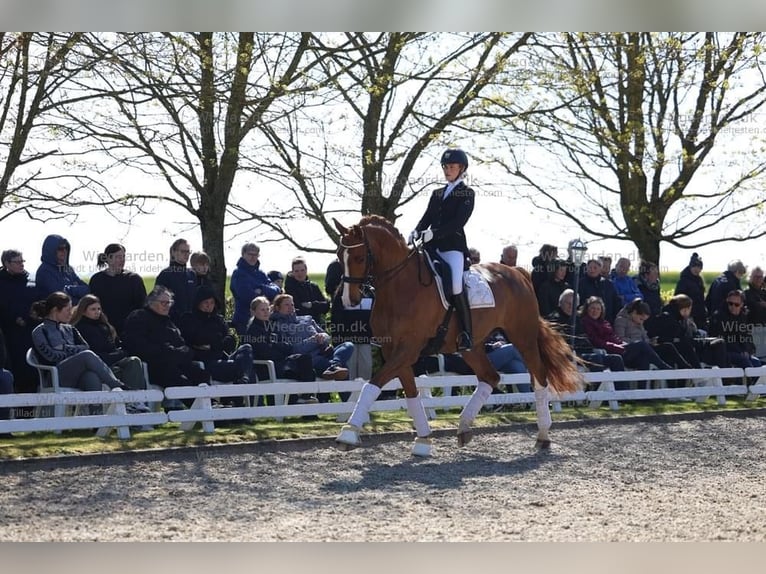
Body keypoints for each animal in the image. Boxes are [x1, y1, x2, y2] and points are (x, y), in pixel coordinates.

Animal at [332, 216, 584, 460]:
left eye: (358, 257)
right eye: (338, 256)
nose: (348, 300)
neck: (400, 286)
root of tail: (518, 273)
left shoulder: (408, 349)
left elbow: (371, 385)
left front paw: (348, 434)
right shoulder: (393, 351)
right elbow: (411, 393)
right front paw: (423, 441)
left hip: (523, 336)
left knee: (539, 376)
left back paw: (543, 436)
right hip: (472, 346)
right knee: (490, 377)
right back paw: (463, 428)